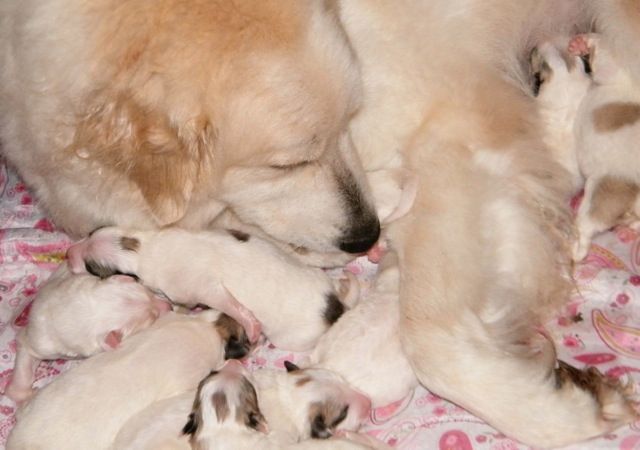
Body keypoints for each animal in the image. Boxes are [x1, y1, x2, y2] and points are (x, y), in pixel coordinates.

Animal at [4, 264, 172, 404]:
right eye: (153, 317)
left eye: (149, 293)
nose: (170, 306)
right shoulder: (40, 339)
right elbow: (25, 353)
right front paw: (26, 395)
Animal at [67, 229, 348, 352]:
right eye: (90, 233)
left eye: (92, 268)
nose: (68, 254)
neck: (141, 246)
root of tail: (335, 308)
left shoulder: (197, 287)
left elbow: (222, 301)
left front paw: (251, 326)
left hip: (292, 338)